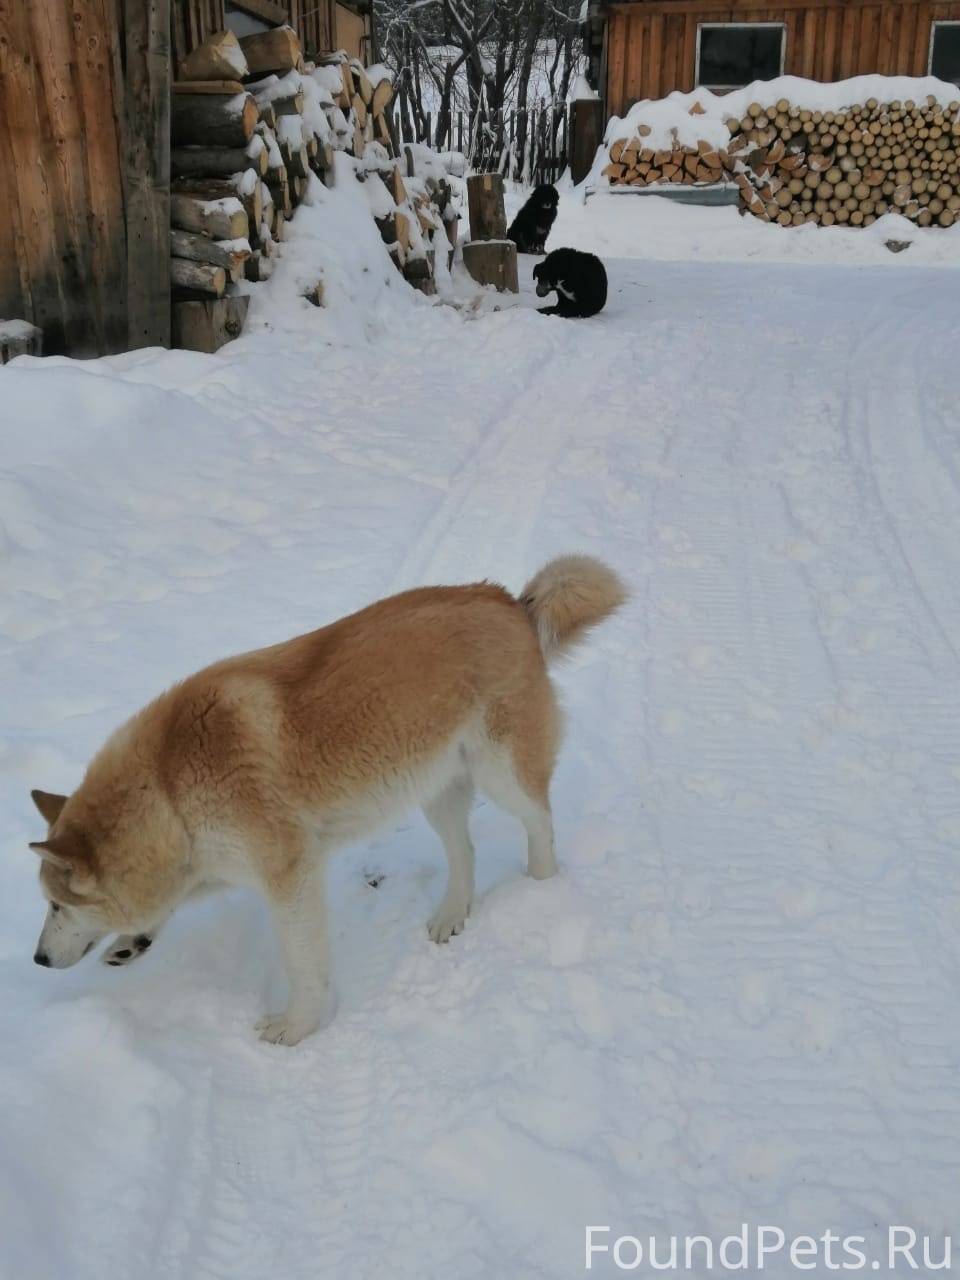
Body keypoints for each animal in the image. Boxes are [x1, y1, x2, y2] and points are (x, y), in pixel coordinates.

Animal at [28, 555, 624, 1044]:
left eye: (57, 905)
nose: (36, 958)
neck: (169, 790)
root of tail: (510, 602)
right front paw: (133, 942)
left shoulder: (290, 879)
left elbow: (303, 967)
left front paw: (297, 1029)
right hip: (436, 792)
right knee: (466, 852)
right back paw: (453, 914)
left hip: (502, 775)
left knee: (540, 822)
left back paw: (541, 890)